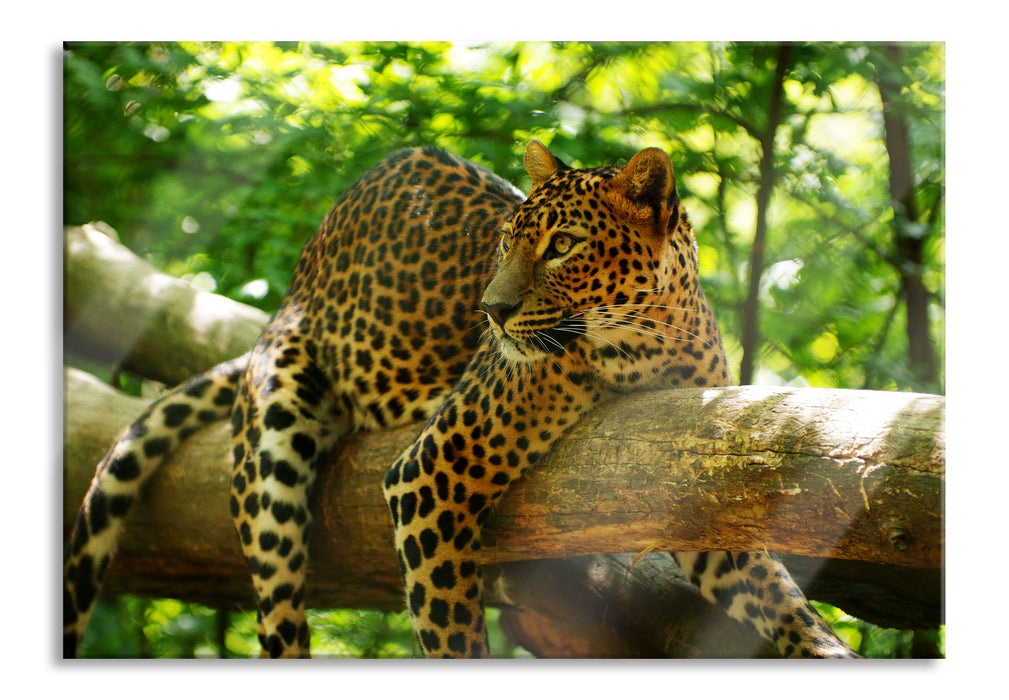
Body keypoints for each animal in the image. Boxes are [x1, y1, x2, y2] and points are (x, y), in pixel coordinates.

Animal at [64, 140, 857, 658]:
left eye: (563, 245)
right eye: (509, 241)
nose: (491, 312)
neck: (646, 343)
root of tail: (291, 291)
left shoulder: (692, 475)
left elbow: (773, 591)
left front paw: (823, 646)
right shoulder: (428, 476)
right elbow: (451, 633)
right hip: (276, 442)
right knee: (280, 613)